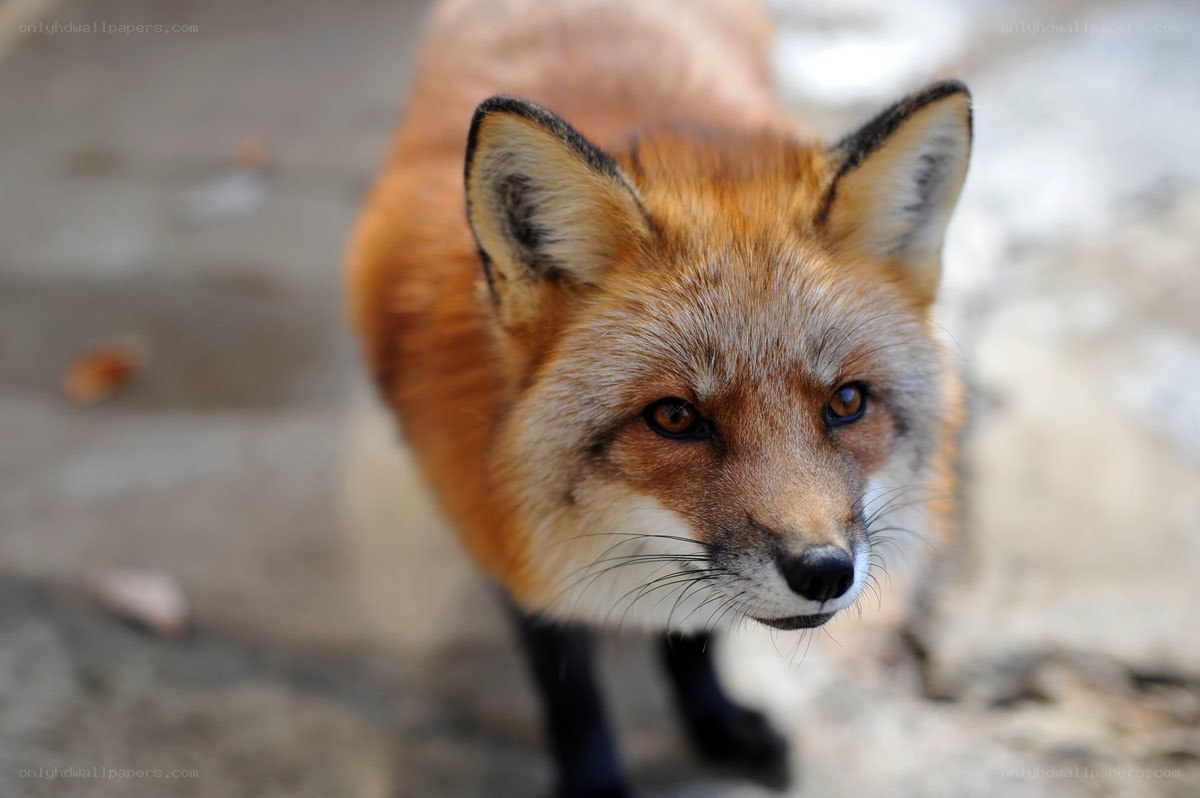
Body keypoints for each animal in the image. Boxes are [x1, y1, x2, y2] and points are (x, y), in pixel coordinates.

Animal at [347, 0, 970, 795]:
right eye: (675, 417)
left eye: (847, 402)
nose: (824, 572)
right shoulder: (504, 532)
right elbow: (571, 686)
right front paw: (595, 782)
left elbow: (692, 635)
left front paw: (715, 724)